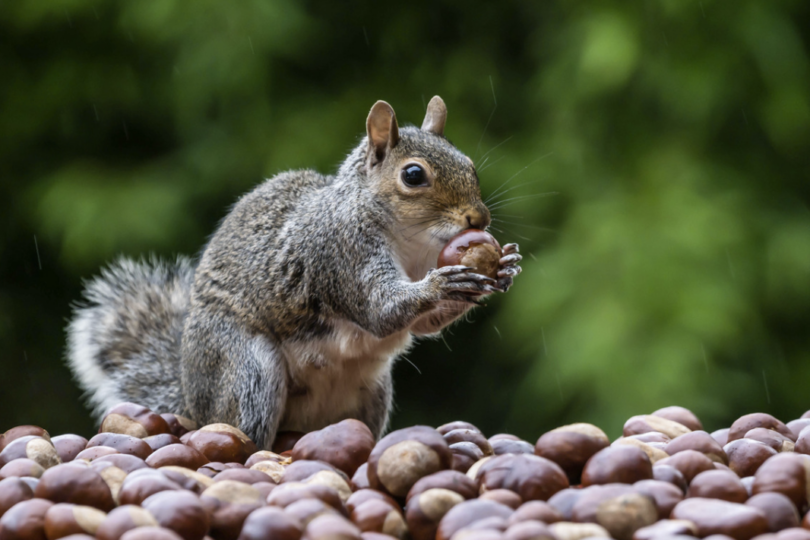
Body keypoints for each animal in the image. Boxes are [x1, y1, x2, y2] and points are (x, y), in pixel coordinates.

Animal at [68, 96, 524, 448]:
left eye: (470, 165)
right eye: (413, 175)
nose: (479, 218)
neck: (409, 239)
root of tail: (192, 399)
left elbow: (424, 325)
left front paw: (501, 269)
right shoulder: (338, 253)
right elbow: (380, 310)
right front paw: (442, 283)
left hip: (373, 394)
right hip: (247, 372)